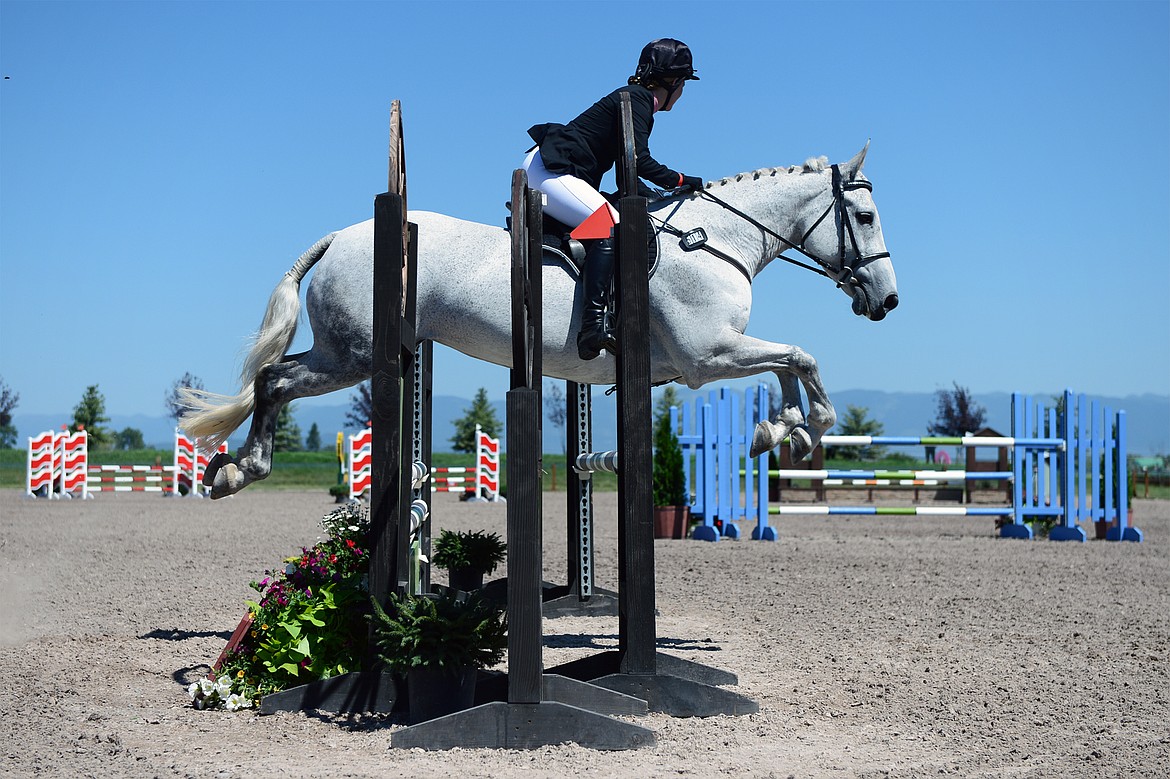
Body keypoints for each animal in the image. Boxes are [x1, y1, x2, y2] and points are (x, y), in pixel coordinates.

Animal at [182, 143, 893, 498]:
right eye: (864, 219)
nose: (885, 302)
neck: (714, 239)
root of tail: (340, 237)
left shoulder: (717, 352)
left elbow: (790, 364)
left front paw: (781, 432)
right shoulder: (706, 355)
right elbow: (801, 356)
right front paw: (804, 426)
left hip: (346, 351)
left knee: (275, 377)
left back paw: (231, 468)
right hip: (353, 355)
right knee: (274, 380)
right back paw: (241, 470)